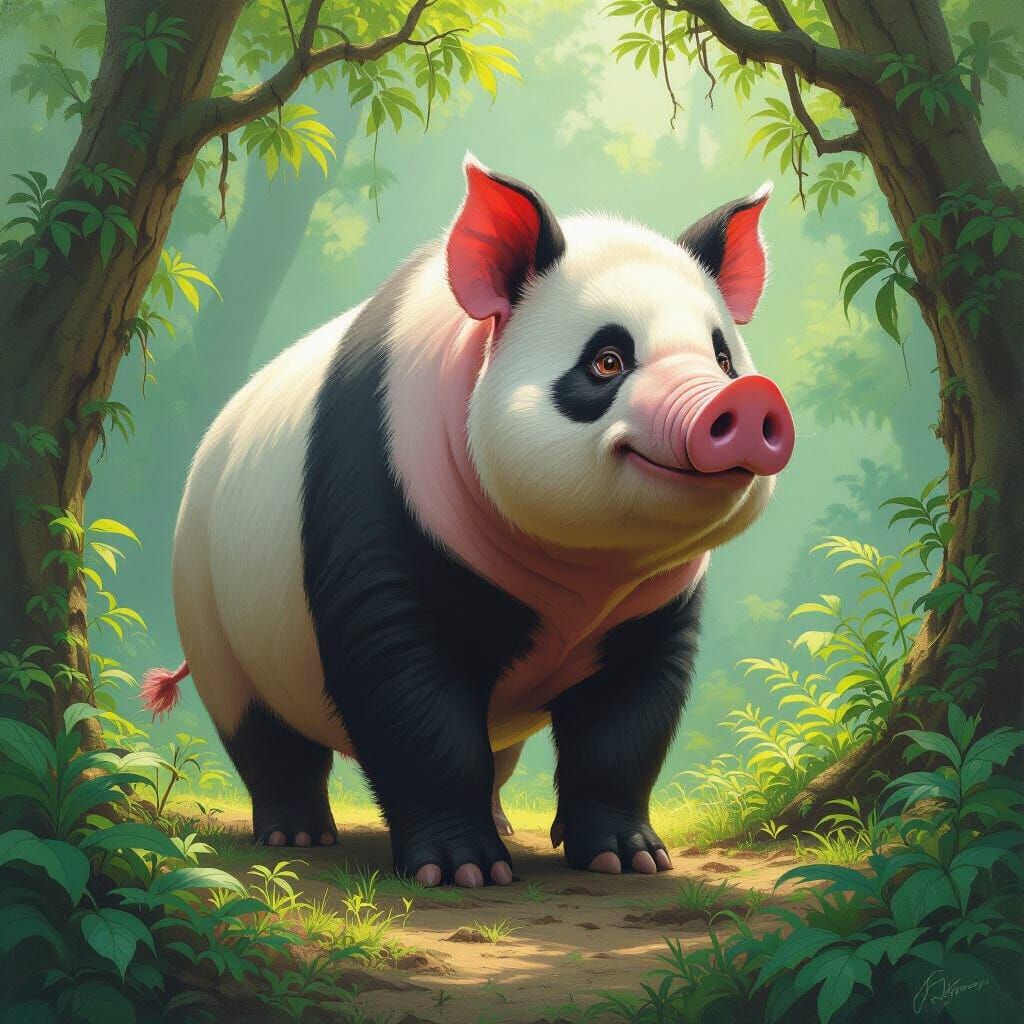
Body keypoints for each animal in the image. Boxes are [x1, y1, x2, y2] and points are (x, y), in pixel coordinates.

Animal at [143, 156, 795, 888]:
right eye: (607, 361)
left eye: (722, 357)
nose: (747, 399)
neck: (591, 569)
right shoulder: (382, 501)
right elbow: (406, 686)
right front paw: (463, 868)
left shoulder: (654, 600)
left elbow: (630, 711)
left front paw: (626, 856)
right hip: (212, 599)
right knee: (261, 728)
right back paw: (298, 832)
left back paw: (503, 820)